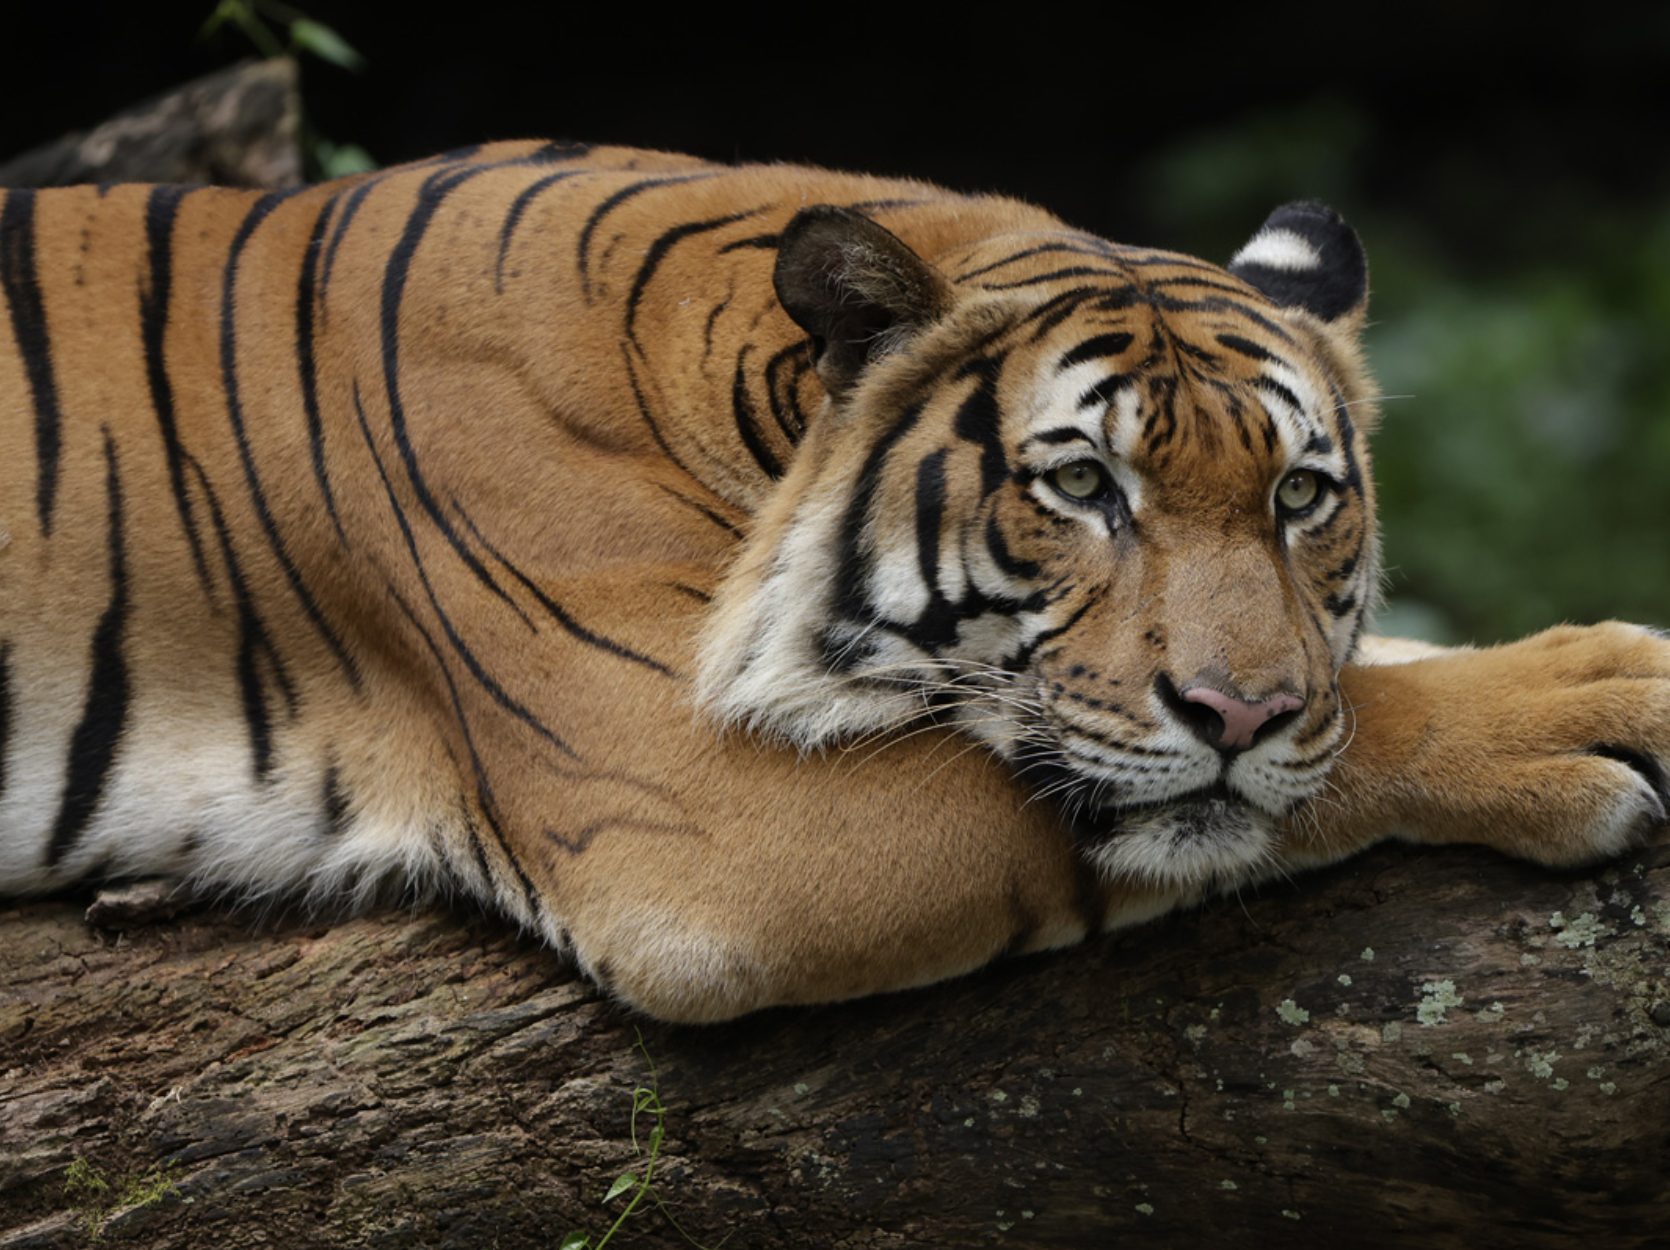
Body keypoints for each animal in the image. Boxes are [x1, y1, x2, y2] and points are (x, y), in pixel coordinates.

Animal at [1, 140, 1667, 1023]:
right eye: (1082, 486)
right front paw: (1587, 702)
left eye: (1298, 496)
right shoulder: (709, 819)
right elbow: (1313, 753)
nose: (1239, 713)